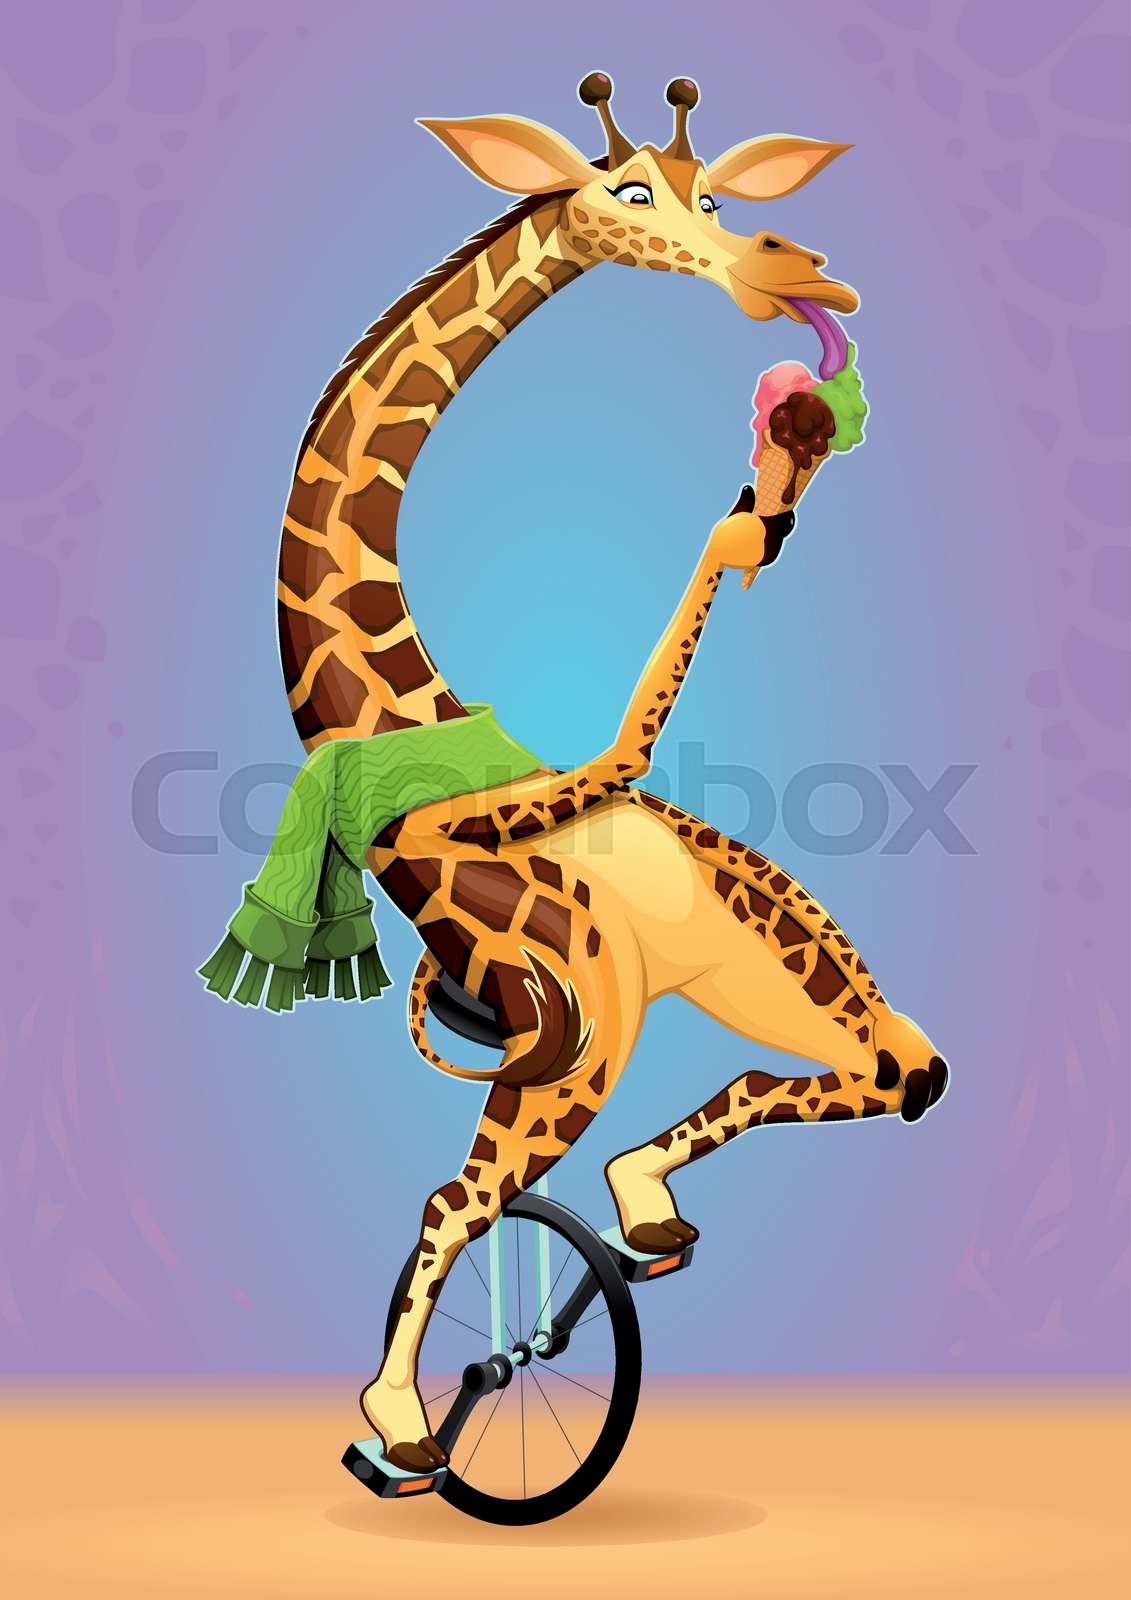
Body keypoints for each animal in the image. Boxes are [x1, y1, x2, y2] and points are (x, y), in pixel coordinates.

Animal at [278, 75, 948, 1472]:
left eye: (723, 200)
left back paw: (638, 1218)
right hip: (580, 1043)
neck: (396, 721)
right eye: (631, 191)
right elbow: (624, 741)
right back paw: (412, 1421)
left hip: (748, 986)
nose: (802, 270)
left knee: (896, 1070)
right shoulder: (528, 932)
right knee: (463, 1198)